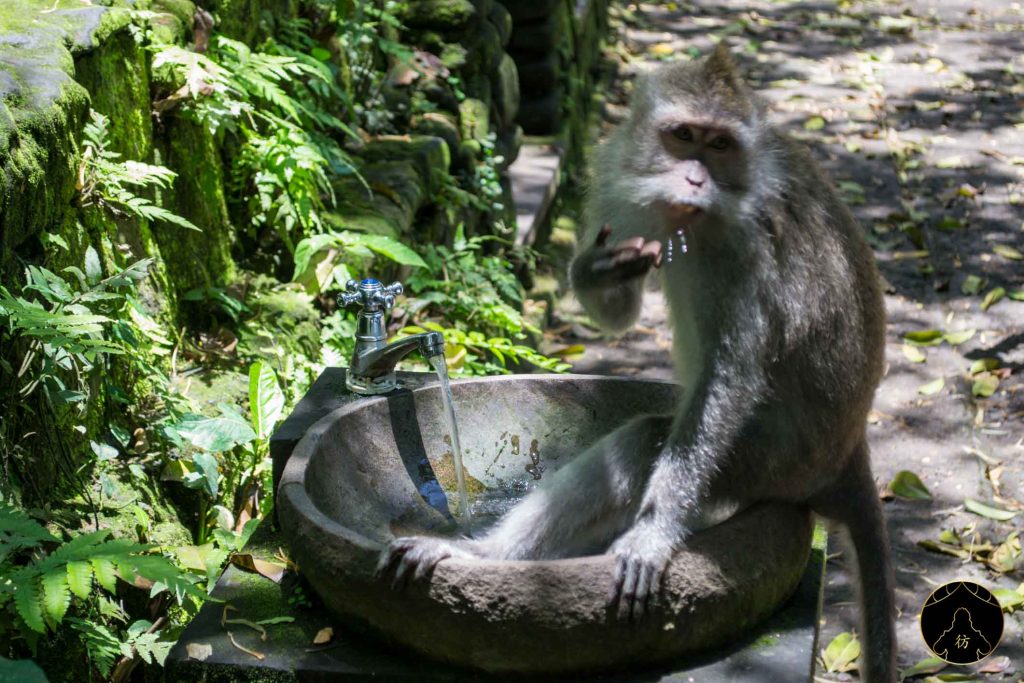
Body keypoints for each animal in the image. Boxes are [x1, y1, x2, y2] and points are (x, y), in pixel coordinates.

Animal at [378, 44, 896, 683]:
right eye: (684, 136)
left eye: (719, 145)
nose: (695, 178)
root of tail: (847, 453)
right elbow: (621, 311)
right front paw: (595, 270)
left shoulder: (752, 249)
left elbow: (731, 377)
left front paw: (652, 534)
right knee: (635, 446)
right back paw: (480, 555)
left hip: (775, 464)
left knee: (655, 441)